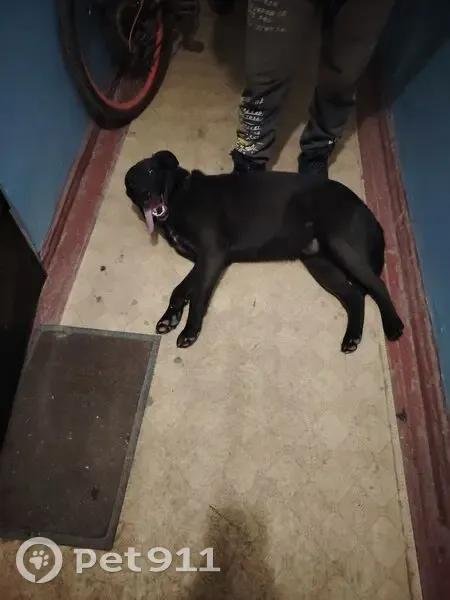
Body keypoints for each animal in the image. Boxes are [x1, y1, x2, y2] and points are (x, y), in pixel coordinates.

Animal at [125, 150, 404, 351]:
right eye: (131, 183)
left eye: (151, 170)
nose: (146, 195)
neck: (179, 194)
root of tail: (368, 211)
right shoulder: (206, 260)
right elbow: (181, 289)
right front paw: (170, 317)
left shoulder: (212, 254)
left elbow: (198, 296)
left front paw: (190, 330)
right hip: (320, 264)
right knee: (355, 297)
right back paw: (352, 337)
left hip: (341, 245)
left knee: (378, 286)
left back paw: (393, 325)